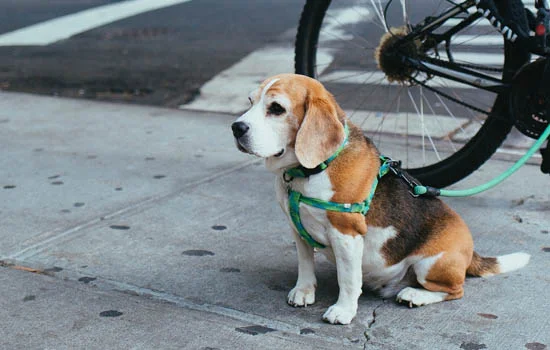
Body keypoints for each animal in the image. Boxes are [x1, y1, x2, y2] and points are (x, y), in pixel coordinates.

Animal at [232, 74, 532, 326]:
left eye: (277, 108)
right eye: (250, 101)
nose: (236, 127)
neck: (309, 171)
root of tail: (471, 253)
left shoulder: (346, 234)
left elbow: (348, 279)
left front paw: (343, 310)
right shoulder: (298, 229)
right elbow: (305, 264)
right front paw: (304, 291)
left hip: (431, 264)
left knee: (455, 290)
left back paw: (415, 295)